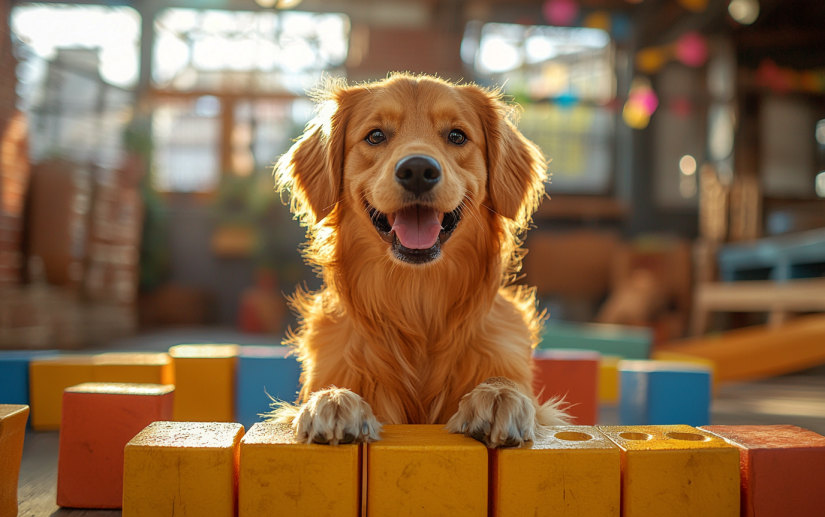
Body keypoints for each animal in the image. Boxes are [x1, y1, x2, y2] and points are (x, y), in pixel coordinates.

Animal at [270, 70, 568, 446]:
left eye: (457, 135)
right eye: (376, 135)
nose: (417, 170)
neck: (417, 298)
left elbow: (506, 384)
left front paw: (498, 395)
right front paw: (335, 399)